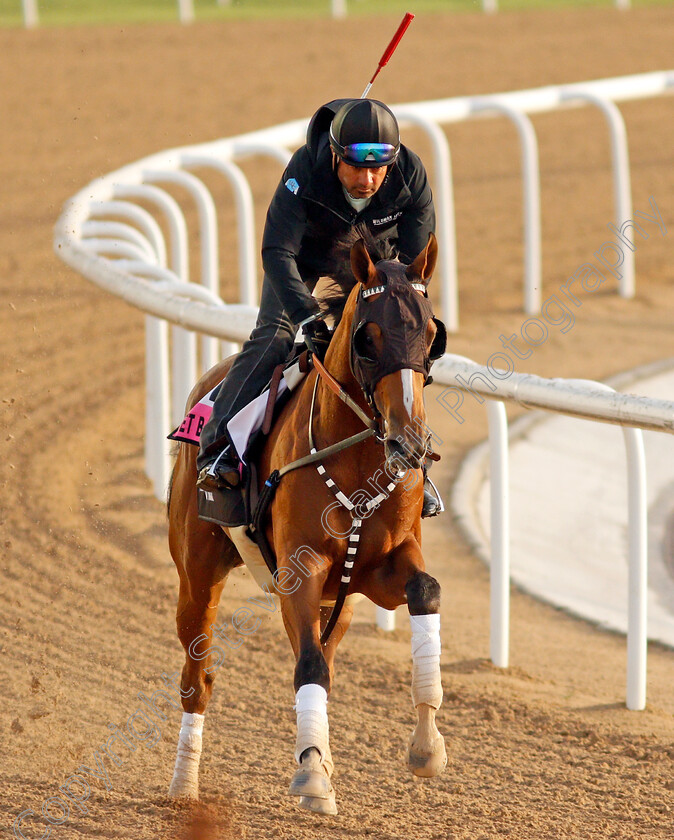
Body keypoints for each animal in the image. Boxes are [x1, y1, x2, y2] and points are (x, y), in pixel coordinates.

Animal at [165, 230, 446, 812]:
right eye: (368, 338)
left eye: (433, 334)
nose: (409, 440)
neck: (357, 458)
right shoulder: (302, 566)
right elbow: (309, 666)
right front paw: (312, 777)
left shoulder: (377, 569)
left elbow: (424, 591)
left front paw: (427, 746)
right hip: (197, 574)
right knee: (197, 677)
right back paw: (184, 786)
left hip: (337, 599)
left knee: (322, 652)